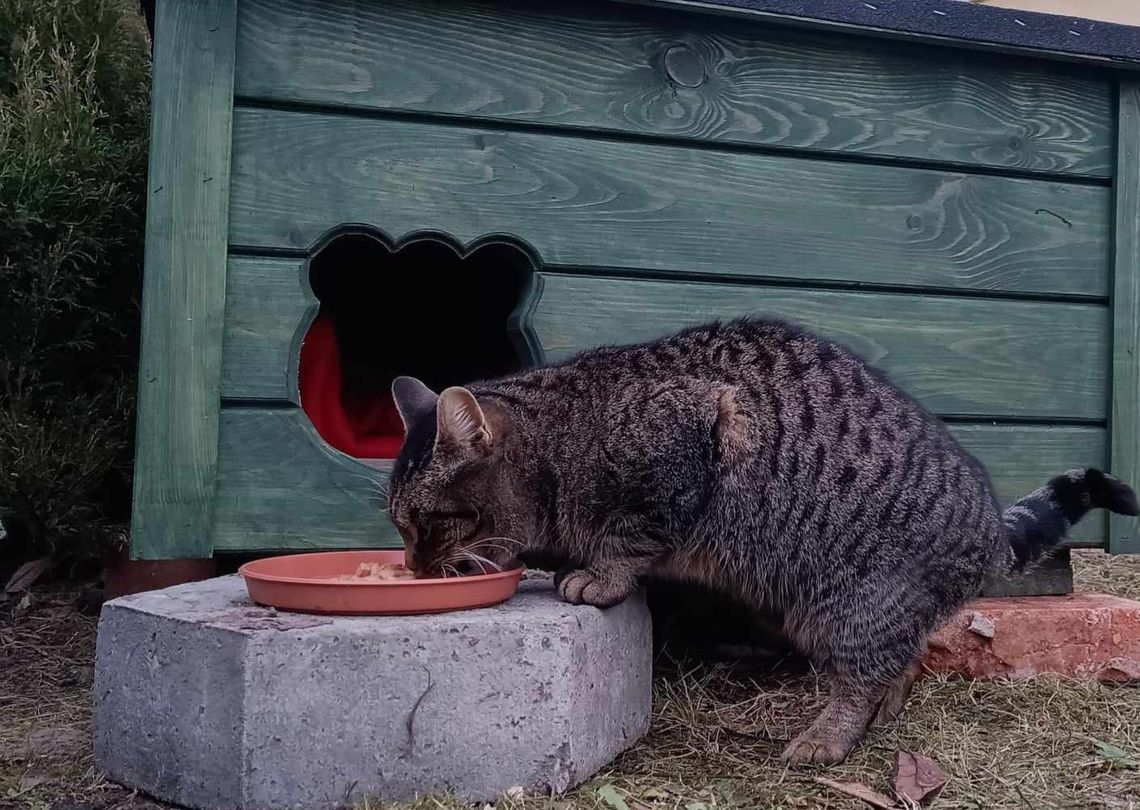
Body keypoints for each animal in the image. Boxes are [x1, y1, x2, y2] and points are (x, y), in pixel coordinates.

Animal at [387, 318, 1135, 765]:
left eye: (427, 521)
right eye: (399, 524)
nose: (415, 565)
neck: (565, 439)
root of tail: (985, 523)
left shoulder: (692, 435)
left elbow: (630, 535)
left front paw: (597, 574)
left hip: (849, 605)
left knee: (866, 675)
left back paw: (825, 739)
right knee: (906, 658)